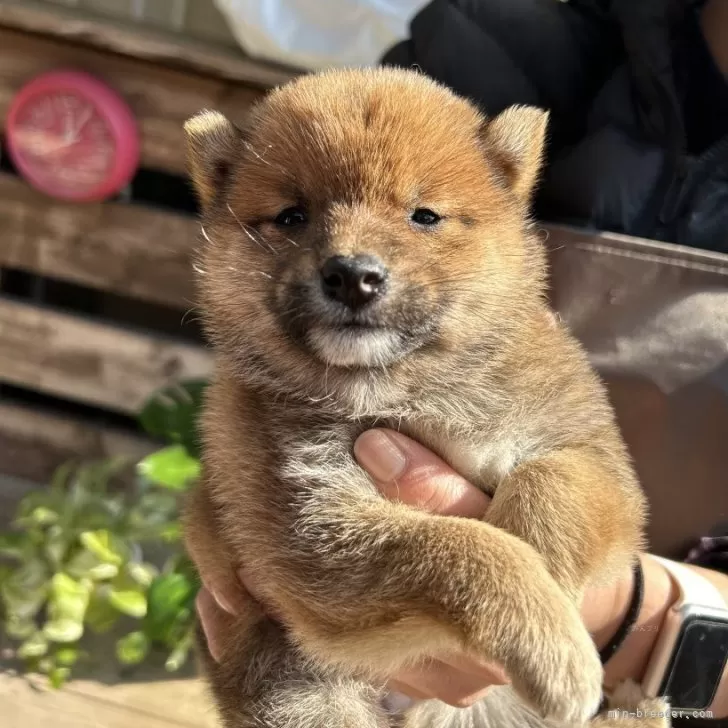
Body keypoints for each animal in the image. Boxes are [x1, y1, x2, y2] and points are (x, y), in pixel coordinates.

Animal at [185, 68, 668, 728]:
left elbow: (549, 483)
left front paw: (548, 571)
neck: (416, 391)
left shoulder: (590, 456)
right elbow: (460, 546)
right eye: (291, 216)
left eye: (423, 216)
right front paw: (546, 634)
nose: (352, 275)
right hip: (305, 695)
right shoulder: (311, 519)